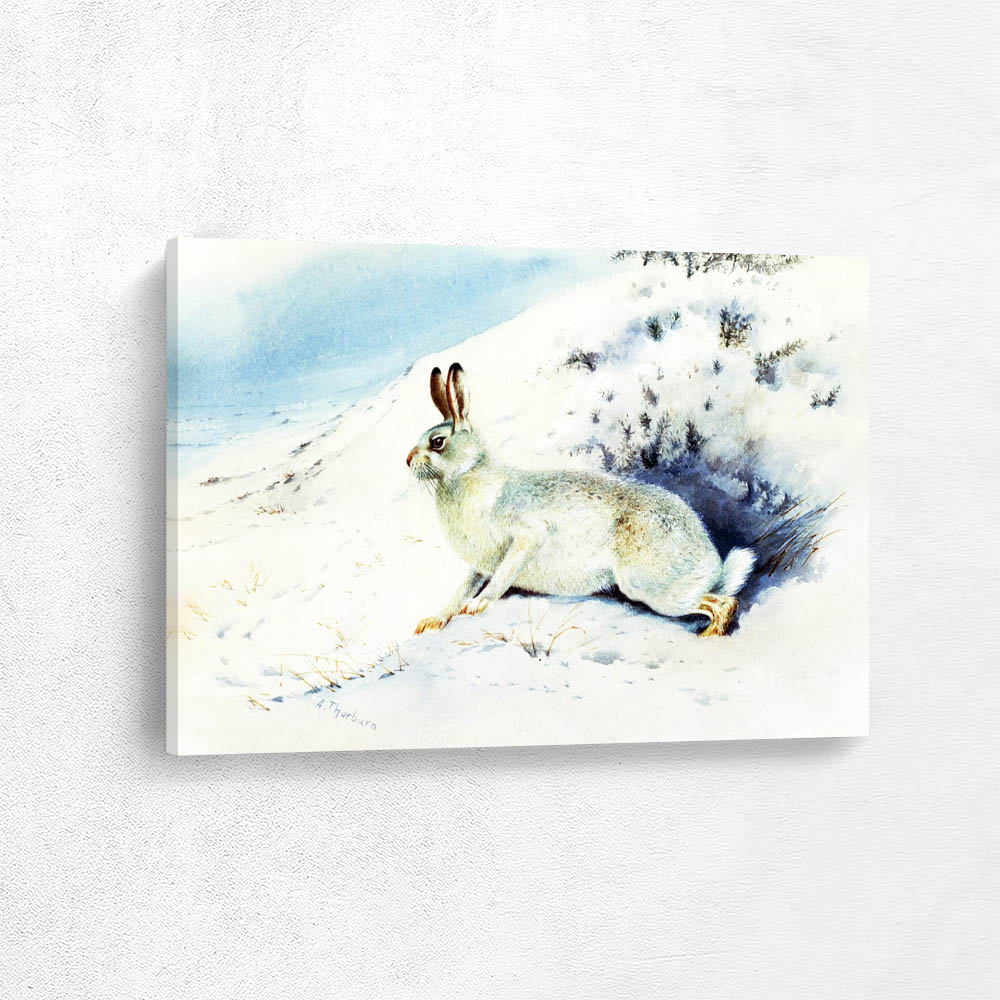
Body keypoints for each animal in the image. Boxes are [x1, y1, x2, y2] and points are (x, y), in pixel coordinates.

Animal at [406, 363, 755, 637]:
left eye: (437, 442)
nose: (407, 461)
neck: (466, 475)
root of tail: (712, 562)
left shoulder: (527, 534)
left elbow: (503, 575)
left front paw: (478, 604)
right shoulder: (479, 565)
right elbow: (459, 590)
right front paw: (433, 621)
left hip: (648, 585)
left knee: (723, 602)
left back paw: (708, 636)